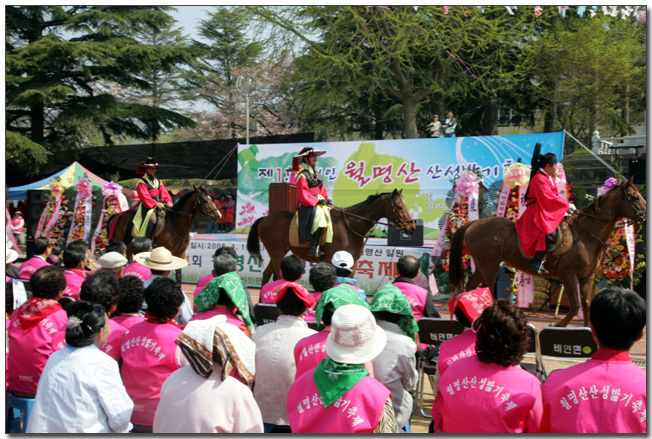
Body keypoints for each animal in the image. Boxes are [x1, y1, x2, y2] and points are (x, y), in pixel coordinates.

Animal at [247, 188, 416, 286]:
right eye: (400, 207)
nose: (412, 228)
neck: (350, 226)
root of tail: (265, 218)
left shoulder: (353, 262)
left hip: (279, 251)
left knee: (267, 274)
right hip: (276, 252)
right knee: (278, 276)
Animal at [450, 178, 644, 326]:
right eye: (635, 197)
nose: (644, 216)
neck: (586, 235)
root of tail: (474, 224)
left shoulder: (587, 277)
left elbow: (587, 304)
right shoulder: (569, 275)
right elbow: (575, 305)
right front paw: (558, 325)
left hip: (483, 264)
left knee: (471, 286)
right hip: (489, 264)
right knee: (487, 289)